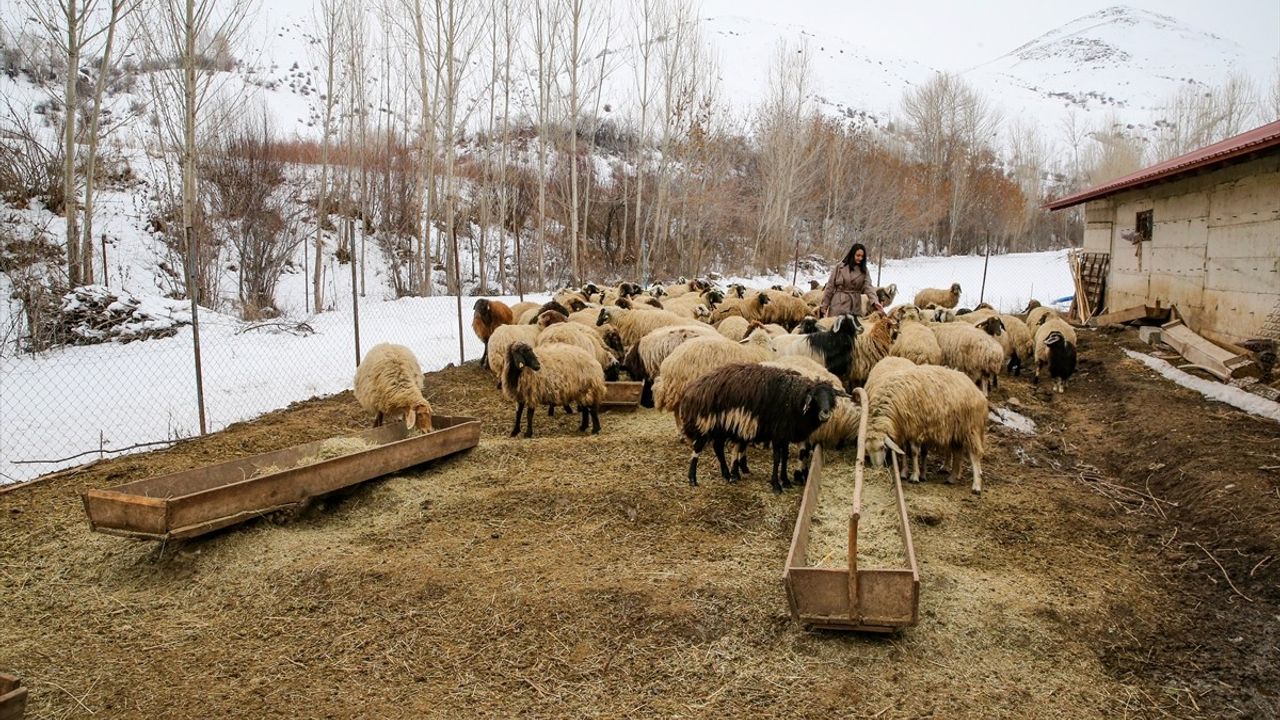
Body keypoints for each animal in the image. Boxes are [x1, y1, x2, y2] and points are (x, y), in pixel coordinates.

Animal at [675, 361, 844, 489]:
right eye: (815, 397)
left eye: (832, 397)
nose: (825, 414)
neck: (795, 399)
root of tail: (693, 389)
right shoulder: (778, 433)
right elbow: (777, 458)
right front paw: (776, 485)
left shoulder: (785, 434)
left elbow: (785, 456)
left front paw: (786, 480)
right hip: (706, 423)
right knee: (698, 448)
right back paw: (693, 479)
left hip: (721, 427)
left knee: (718, 448)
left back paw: (727, 475)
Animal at [860, 363, 988, 491]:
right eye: (867, 449)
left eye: (883, 447)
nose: (877, 469)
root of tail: (976, 390)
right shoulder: (905, 429)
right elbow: (904, 451)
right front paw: (904, 473)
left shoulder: (915, 428)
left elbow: (914, 452)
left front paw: (914, 476)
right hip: (956, 431)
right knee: (957, 453)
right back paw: (952, 478)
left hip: (971, 428)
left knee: (975, 454)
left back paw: (976, 485)